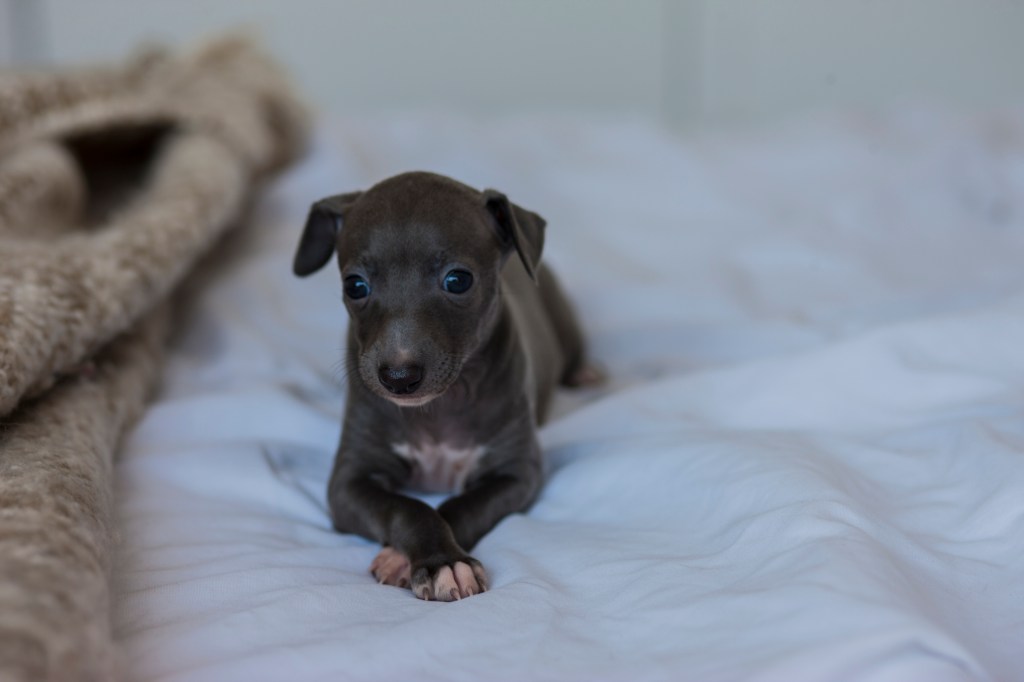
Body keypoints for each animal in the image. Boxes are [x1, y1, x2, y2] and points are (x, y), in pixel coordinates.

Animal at [292, 171, 598, 602]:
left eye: (457, 280)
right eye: (355, 286)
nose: (398, 377)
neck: (438, 407)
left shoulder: (517, 475)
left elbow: (459, 506)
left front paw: (439, 561)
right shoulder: (347, 482)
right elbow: (405, 506)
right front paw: (427, 558)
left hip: (562, 313)